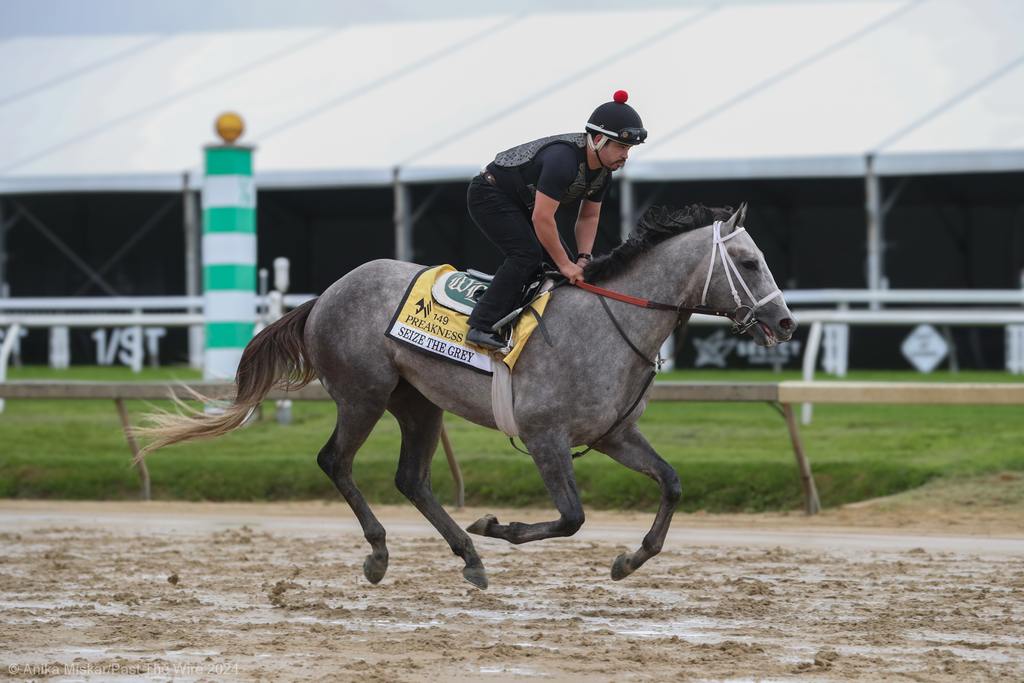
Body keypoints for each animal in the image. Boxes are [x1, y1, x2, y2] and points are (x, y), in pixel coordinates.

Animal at [138, 201, 790, 589]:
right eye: (750, 262)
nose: (784, 323)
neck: (610, 323)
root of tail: (326, 294)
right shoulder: (545, 436)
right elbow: (571, 517)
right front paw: (497, 527)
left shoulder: (614, 435)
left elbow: (672, 484)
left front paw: (630, 560)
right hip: (363, 394)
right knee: (335, 462)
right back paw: (382, 554)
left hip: (418, 403)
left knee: (411, 478)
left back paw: (467, 557)